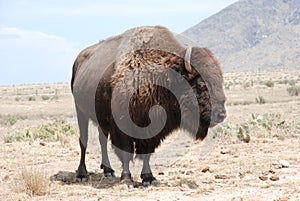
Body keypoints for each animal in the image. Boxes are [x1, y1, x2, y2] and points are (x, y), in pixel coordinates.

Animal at [70, 25, 226, 188]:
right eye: (201, 84)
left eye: (220, 81)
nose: (221, 114)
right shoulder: (122, 125)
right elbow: (126, 152)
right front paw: (127, 180)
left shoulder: (152, 128)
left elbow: (146, 153)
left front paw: (149, 178)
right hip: (80, 112)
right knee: (83, 141)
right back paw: (82, 174)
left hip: (100, 118)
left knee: (102, 140)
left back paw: (108, 171)